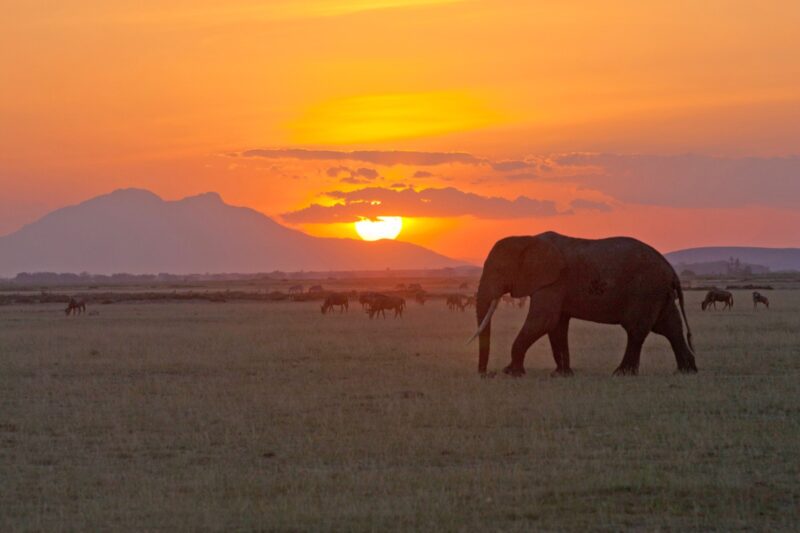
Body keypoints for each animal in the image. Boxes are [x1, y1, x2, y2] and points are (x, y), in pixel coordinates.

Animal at [468, 231, 692, 376]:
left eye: (498, 270)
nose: (486, 374)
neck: (528, 239)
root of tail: (671, 271)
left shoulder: (553, 282)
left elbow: (543, 321)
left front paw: (512, 372)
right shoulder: (555, 286)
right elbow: (556, 326)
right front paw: (562, 374)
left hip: (646, 290)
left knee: (636, 330)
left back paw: (621, 374)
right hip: (660, 293)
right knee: (671, 328)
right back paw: (687, 371)